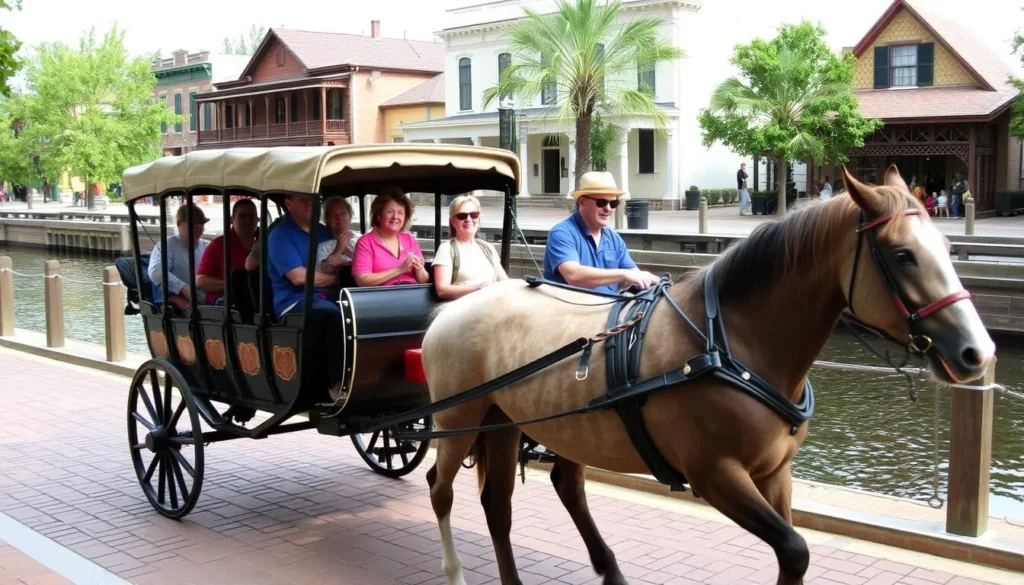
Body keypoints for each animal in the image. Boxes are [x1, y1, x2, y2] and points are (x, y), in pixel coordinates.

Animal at [419, 165, 995, 585]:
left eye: (947, 250)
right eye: (903, 254)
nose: (978, 352)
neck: (731, 341)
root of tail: (454, 308)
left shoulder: (775, 473)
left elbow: (794, 553)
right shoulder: (715, 474)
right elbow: (795, 548)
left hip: (508, 422)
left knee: (505, 504)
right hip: (460, 418)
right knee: (440, 489)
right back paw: (453, 570)